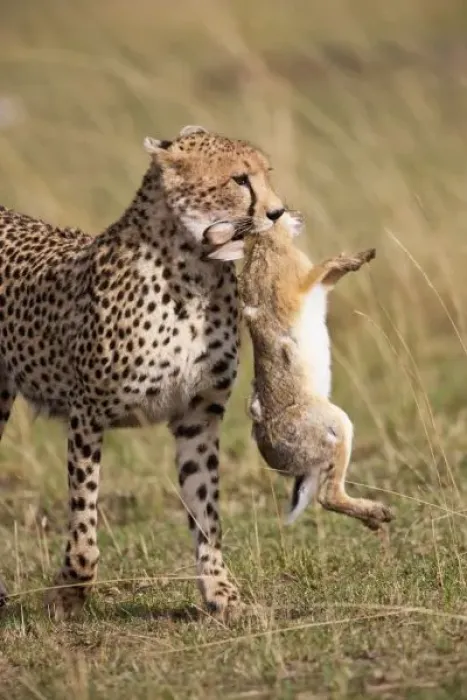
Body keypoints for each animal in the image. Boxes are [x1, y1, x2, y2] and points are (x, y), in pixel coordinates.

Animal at [0, 124, 287, 619]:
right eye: (239, 179)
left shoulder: (199, 416)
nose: (277, 211)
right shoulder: (86, 415)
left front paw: (221, 592)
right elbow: (84, 520)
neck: (194, 270)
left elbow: (206, 512)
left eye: (265, 173)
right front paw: (69, 593)